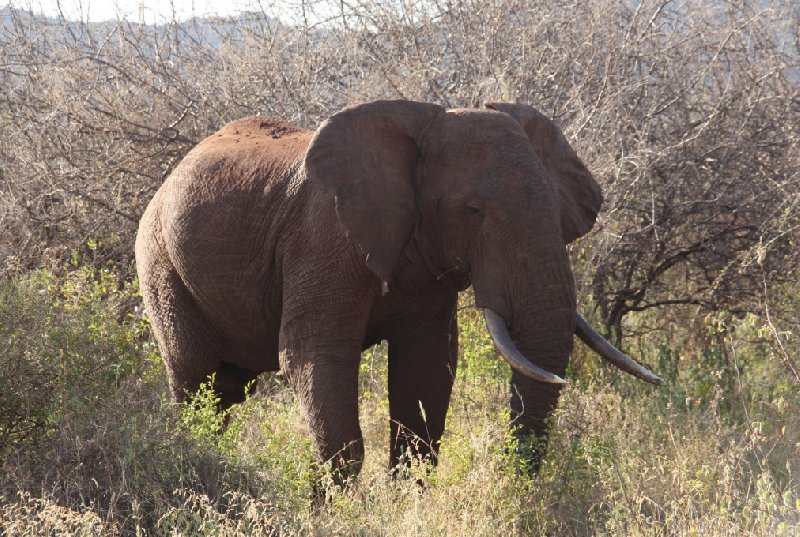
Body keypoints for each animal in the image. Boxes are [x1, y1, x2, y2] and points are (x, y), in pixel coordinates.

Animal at [138, 97, 664, 486]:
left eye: (557, 209)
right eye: (472, 211)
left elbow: (426, 367)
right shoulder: (322, 240)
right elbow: (314, 357)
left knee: (227, 390)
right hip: (159, 263)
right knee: (197, 380)